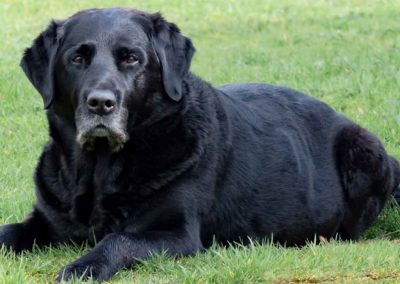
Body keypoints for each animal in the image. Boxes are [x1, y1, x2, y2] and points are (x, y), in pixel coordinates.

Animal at [0, 8, 400, 282]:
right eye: (77, 58)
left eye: (131, 58)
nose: (101, 103)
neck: (99, 170)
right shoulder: (47, 220)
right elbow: (8, 231)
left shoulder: (177, 233)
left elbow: (118, 240)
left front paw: (83, 266)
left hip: (364, 152)